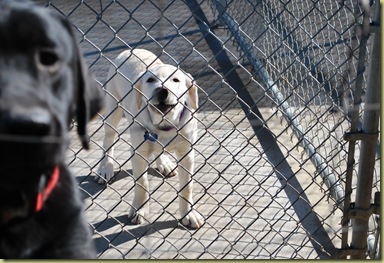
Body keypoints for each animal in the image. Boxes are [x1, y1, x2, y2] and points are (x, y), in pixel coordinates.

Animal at [96, 49, 204, 229]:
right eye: (150, 80)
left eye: (175, 80)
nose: (162, 91)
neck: (164, 124)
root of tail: (131, 50)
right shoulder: (138, 153)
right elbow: (142, 184)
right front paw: (139, 209)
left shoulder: (187, 153)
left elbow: (186, 187)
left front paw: (189, 214)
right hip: (113, 106)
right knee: (108, 138)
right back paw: (106, 167)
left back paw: (164, 164)